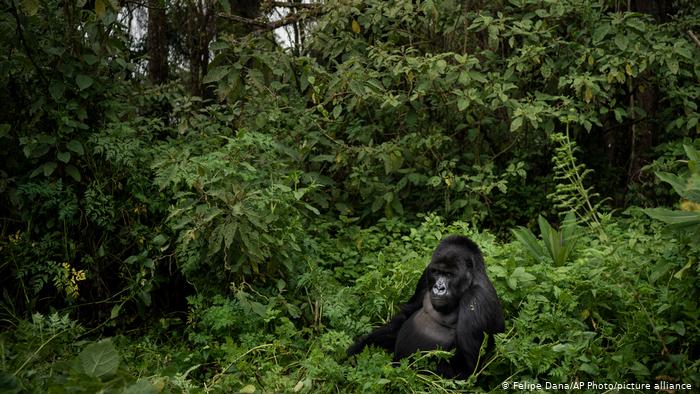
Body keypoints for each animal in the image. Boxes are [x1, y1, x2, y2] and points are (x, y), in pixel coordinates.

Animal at [348, 235, 504, 378]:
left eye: (449, 274)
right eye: (437, 272)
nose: (439, 288)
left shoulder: (476, 300)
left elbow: (467, 367)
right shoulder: (427, 273)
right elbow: (405, 314)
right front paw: (359, 347)